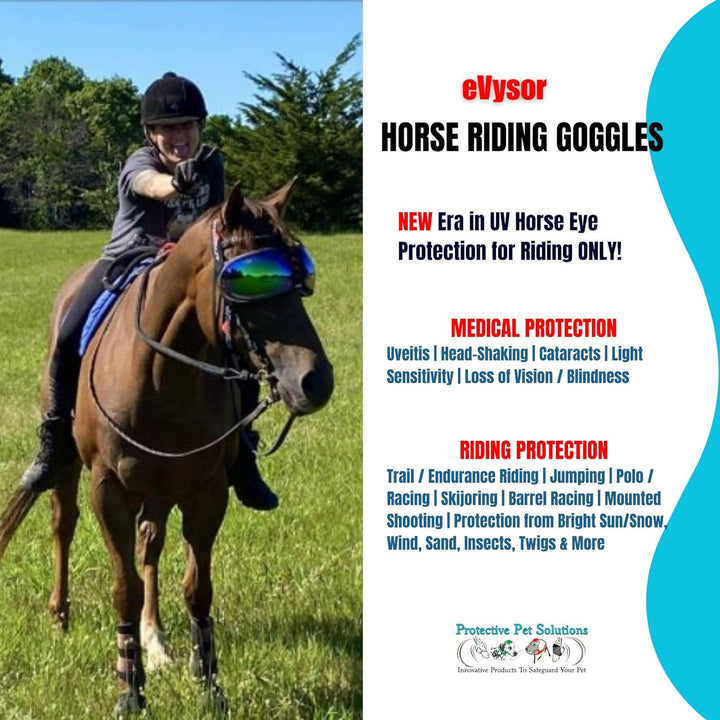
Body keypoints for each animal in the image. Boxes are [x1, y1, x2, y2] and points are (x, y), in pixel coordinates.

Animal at [0, 179, 333, 716]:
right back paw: (60, 615)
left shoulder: (206, 491)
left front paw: (209, 684)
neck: (163, 376)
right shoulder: (108, 489)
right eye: (249, 280)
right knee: (63, 525)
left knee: (150, 544)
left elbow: (197, 589)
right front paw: (129, 692)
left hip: (160, 488)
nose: (315, 381)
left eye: (301, 276)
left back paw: (155, 640)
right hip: (71, 467)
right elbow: (124, 589)